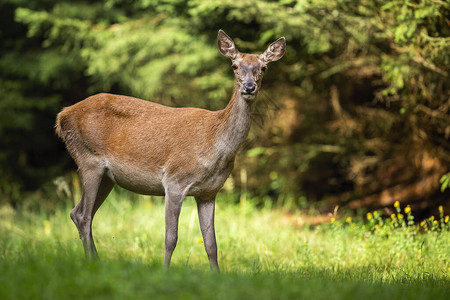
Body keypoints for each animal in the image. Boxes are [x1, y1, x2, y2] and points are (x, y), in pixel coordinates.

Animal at [55, 29, 284, 270]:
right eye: (234, 66)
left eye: (263, 67)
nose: (249, 87)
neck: (214, 143)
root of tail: (62, 116)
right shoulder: (175, 181)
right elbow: (171, 238)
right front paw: (165, 271)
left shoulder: (209, 192)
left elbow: (211, 243)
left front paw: (217, 274)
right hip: (88, 158)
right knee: (83, 215)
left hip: (108, 176)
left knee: (77, 212)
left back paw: (96, 262)